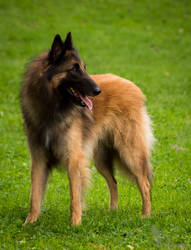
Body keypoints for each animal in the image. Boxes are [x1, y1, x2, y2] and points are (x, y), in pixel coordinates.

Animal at [20, 32, 154, 226]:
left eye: (84, 68)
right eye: (74, 69)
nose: (98, 91)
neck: (52, 107)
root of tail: (133, 86)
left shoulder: (74, 159)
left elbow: (75, 197)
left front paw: (75, 225)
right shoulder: (39, 159)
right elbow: (35, 195)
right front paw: (29, 223)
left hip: (130, 152)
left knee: (144, 183)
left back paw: (146, 215)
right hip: (101, 159)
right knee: (114, 182)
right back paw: (112, 211)